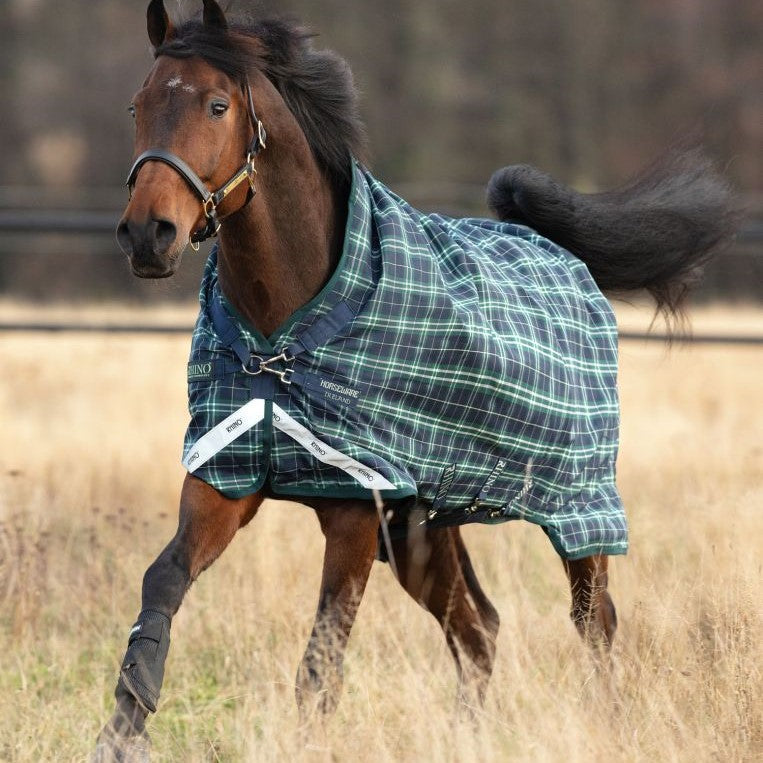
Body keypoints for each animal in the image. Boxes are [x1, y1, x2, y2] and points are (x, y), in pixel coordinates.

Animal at [95, 1, 737, 759]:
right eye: (138, 105)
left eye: (217, 104)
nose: (148, 235)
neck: (283, 338)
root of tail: (562, 254)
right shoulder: (226, 474)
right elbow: (161, 584)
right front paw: (120, 729)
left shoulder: (353, 506)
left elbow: (321, 660)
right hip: (423, 531)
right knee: (479, 630)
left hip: (576, 507)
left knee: (593, 621)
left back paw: (607, 726)